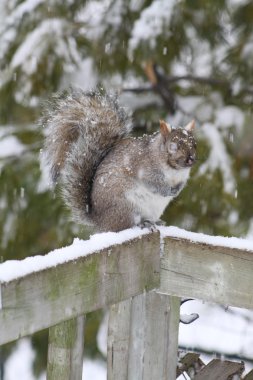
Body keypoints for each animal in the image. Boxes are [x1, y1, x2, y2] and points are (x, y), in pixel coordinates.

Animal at [41, 88, 196, 232]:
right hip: (126, 208)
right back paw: (143, 224)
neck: (174, 169)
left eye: (194, 143)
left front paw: (177, 190)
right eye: (173, 146)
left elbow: (181, 184)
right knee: (125, 225)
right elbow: (152, 182)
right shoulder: (145, 168)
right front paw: (168, 191)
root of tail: (100, 221)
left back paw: (155, 222)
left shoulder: (183, 176)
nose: (191, 159)